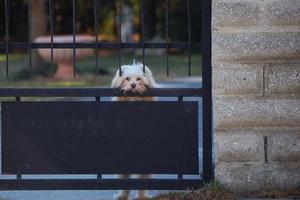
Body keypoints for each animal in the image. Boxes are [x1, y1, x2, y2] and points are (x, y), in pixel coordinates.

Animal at [110, 60, 157, 200]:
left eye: (139, 79)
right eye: (127, 78)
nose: (133, 85)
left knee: (142, 178)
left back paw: (142, 195)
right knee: (125, 178)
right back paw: (123, 195)